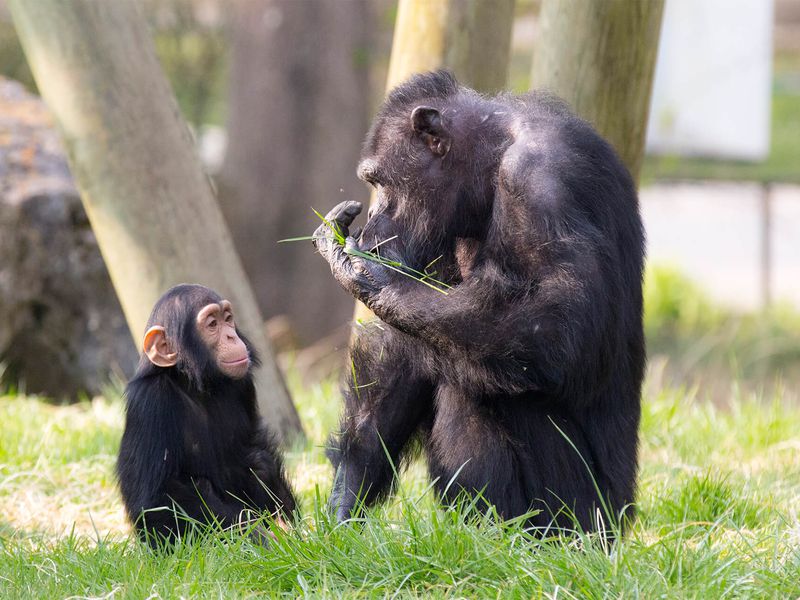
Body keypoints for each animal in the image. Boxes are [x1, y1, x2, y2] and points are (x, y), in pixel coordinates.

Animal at [117, 284, 296, 548]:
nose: (231, 336)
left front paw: (293, 525)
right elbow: (158, 495)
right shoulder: (150, 402)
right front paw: (257, 536)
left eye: (228, 319)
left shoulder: (243, 385)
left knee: (258, 460)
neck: (196, 386)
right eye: (212, 324)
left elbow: (257, 445)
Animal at [312, 71, 644, 536]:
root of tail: (620, 525)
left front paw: (368, 272)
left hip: (583, 515)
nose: (374, 220)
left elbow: (561, 326)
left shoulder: (541, 183)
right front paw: (346, 496)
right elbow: (400, 350)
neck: (492, 162)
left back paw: (497, 538)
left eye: (380, 182)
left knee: (480, 383)